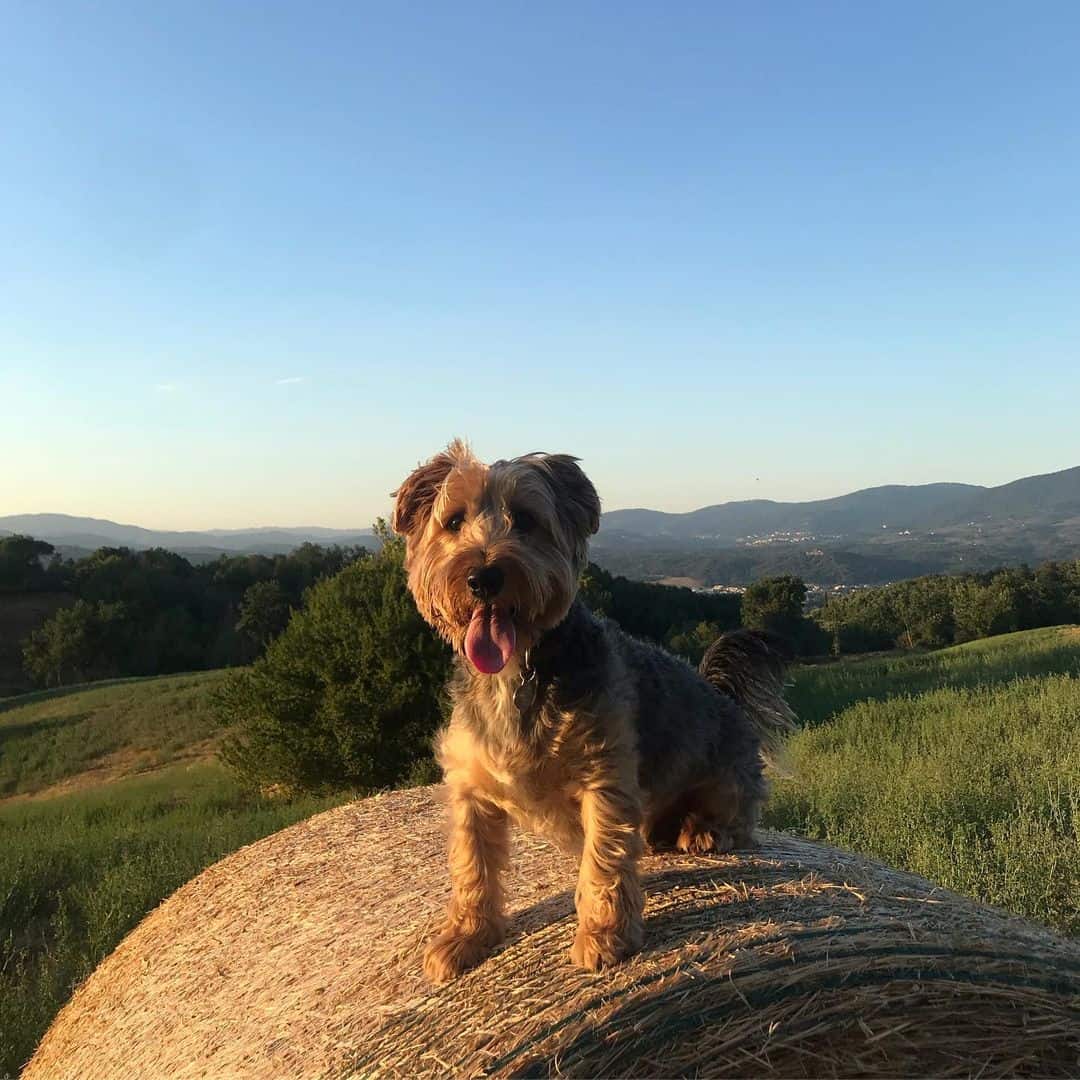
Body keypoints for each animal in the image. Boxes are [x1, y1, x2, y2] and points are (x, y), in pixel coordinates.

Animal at [393, 440, 799, 989]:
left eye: (526, 519)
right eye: (453, 520)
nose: (483, 576)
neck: (519, 673)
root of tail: (722, 694)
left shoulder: (604, 778)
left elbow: (603, 861)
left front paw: (604, 937)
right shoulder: (470, 789)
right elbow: (471, 864)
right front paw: (466, 938)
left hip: (728, 778)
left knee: (739, 815)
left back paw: (703, 830)